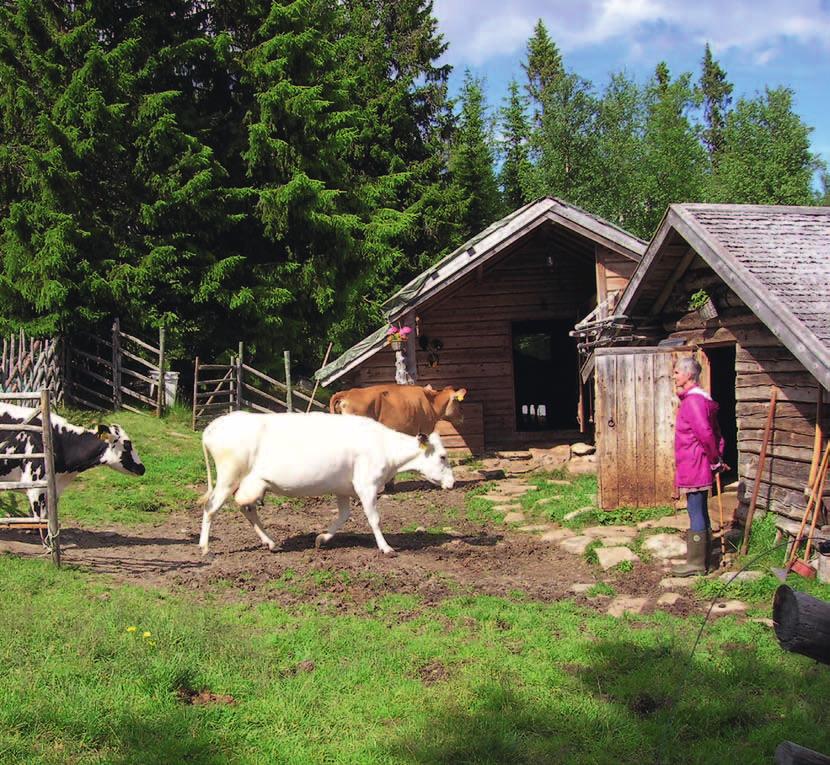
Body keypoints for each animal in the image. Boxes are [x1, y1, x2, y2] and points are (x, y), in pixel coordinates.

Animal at [197, 412, 456, 556]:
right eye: (443, 456)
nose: (452, 483)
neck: (385, 446)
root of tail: (212, 427)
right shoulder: (367, 485)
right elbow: (374, 519)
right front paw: (386, 548)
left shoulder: (343, 488)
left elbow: (343, 515)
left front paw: (322, 539)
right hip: (228, 477)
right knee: (211, 508)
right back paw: (205, 548)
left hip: (247, 483)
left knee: (247, 509)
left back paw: (271, 542)